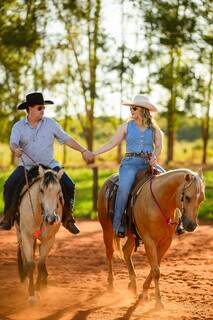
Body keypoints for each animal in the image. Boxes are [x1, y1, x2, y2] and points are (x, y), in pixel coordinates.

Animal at [15, 166, 63, 302]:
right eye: (41, 190)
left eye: (59, 192)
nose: (51, 219)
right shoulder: (26, 237)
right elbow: (31, 264)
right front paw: (31, 294)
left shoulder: (49, 239)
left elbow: (40, 264)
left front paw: (38, 289)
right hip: (19, 234)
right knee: (25, 258)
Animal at [98, 169, 205, 308]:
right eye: (187, 197)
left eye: (201, 199)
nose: (191, 225)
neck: (160, 202)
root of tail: (108, 180)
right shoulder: (149, 241)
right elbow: (156, 271)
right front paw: (158, 302)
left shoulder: (166, 242)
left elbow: (155, 267)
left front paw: (144, 293)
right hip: (107, 229)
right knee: (110, 253)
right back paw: (111, 285)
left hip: (132, 235)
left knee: (126, 251)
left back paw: (132, 286)